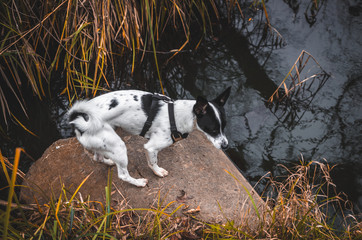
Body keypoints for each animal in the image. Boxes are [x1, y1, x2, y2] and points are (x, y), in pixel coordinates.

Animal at [67, 87, 230, 188]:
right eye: (213, 130)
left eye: (224, 127)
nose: (225, 146)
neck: (177, 114)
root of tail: (80, 122)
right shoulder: (151, 147)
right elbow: (153, 162)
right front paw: (158, 172)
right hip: (119, 146)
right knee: (123, 175)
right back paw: (138, 182)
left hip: (104, 141)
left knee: (98, 157)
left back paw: (109, 161)